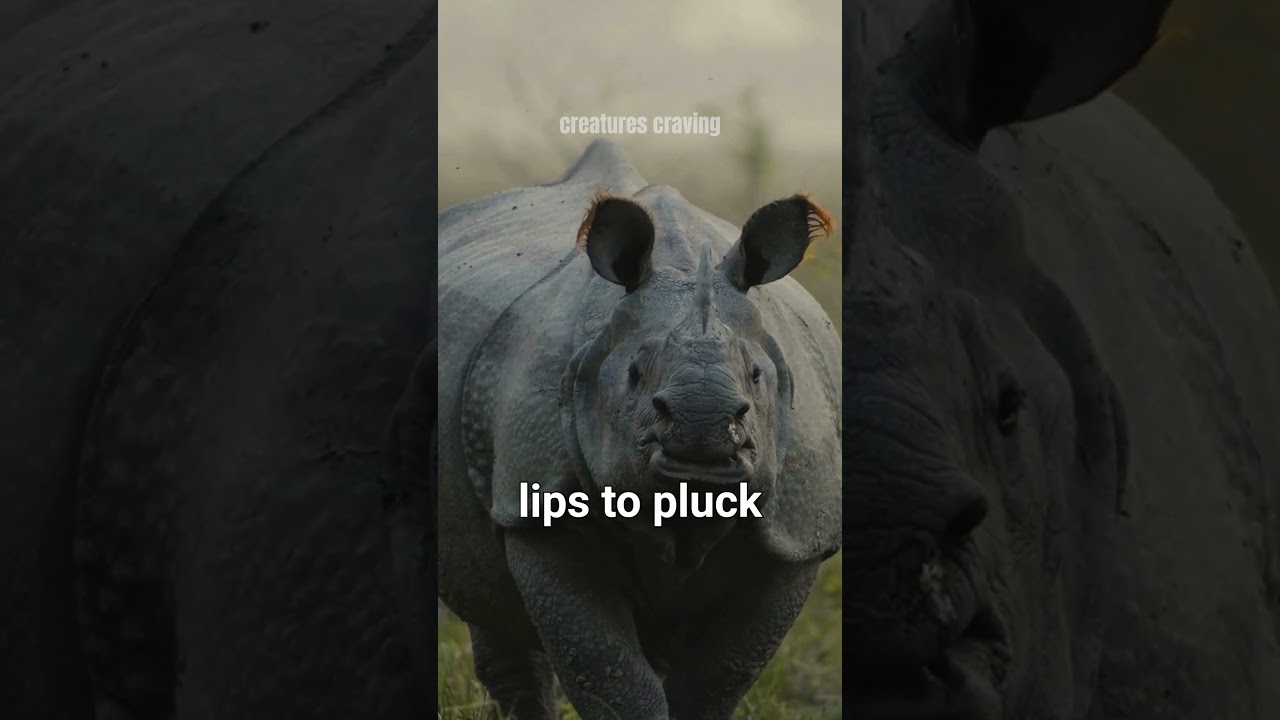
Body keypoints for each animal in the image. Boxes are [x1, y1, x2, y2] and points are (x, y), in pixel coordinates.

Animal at [436, 140, 842, 719]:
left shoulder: (797, 531)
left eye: (757, 376)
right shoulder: (537, 503)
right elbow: (608, 673)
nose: (702, 422)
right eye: (633, 375)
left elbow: (718, 677)